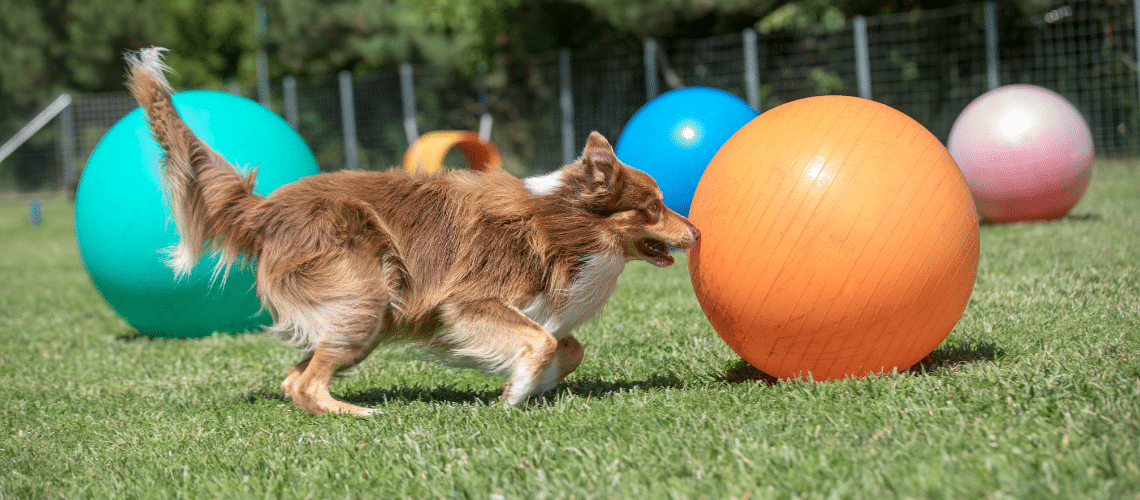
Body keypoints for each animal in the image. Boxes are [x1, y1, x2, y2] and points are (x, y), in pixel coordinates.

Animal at [122, 47, 693, 414]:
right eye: (654, 206)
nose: (698, 232)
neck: (563, 224)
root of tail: (267, 209)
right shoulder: (468, 301)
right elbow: (544, 342)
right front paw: (515, 394)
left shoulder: (537, 310)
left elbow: (568, 348)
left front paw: (528, 386)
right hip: (365, 296)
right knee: (306, 385)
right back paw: (356, 415)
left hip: (360, 313)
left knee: (293, 378)